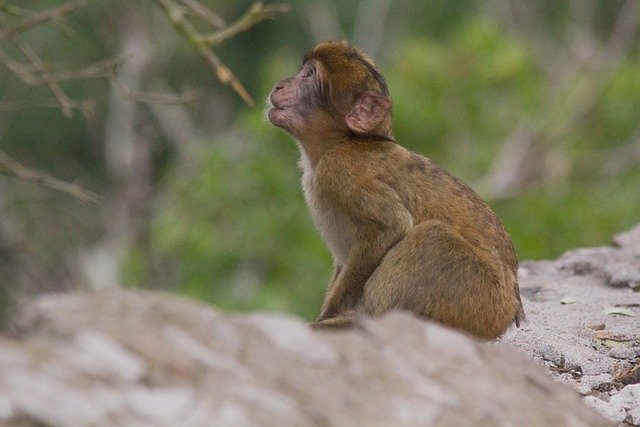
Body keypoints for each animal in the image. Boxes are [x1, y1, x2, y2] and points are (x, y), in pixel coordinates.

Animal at [268, 41, 524, 342]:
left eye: (308, 75)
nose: (279, 86)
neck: (343, 140)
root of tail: (508, 314)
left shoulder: (341, 169)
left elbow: (390, 228)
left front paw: (328, 317)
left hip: (480, 300)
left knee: (432, 237)